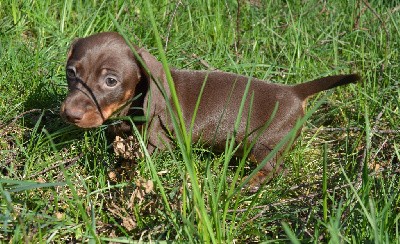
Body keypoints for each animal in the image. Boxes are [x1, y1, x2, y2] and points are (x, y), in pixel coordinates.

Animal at [61, 31, 360, 189]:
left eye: (111, 81)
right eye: (71, 72)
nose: (69, 113)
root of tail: (295, 93)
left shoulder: (158, 144)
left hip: (264, 143)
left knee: (275, 168)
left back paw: (248, 182)